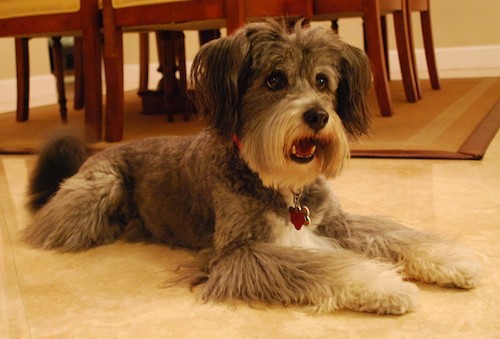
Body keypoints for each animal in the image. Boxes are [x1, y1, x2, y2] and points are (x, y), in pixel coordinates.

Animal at [23, 20, 480, 316]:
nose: (318, 116)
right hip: (101, 187)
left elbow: (396, 235)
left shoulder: (336, 220)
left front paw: (454, 262)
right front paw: (384, 285)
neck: (282, 185)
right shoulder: (238, 253)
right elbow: (319, 265)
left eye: (322, 81)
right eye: (275, 80)